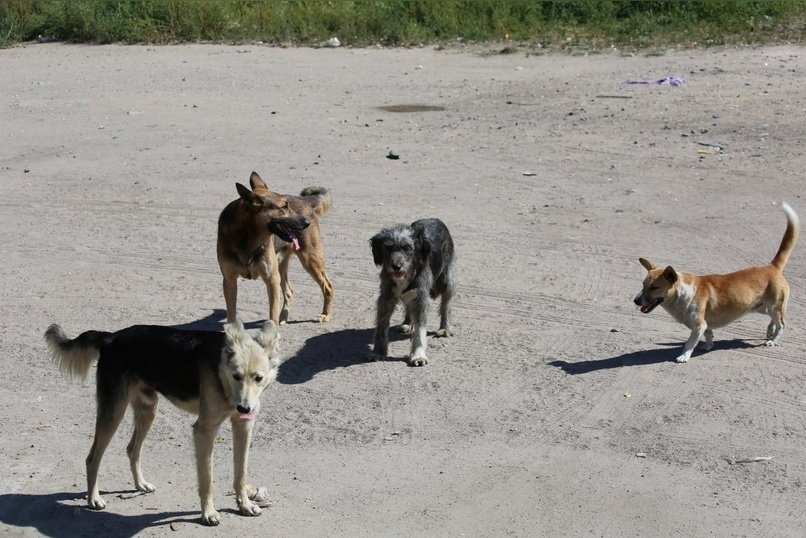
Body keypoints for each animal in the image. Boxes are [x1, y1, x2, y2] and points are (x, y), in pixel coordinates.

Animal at [218, 171, 334, 322]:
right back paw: (284, 316)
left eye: (288, 205)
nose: (306, 222)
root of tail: (305, 200)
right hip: (281, 266)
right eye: (284, 207)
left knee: (328, 286)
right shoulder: (230, 281)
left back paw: (325, 314)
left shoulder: (271, 279)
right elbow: (231, 316)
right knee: (289, 291)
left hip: (310, 260)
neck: (247, 239)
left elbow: (272, 313)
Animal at [370, 218, 458, 364]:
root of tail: (435, 219)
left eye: (407, 248)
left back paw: (445, 328)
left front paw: (418, 355)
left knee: (446, 304)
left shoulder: (421, 298)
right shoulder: (386, 297)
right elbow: (381, 325)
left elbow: (420, 329)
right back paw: (406, 323)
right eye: (388, 248)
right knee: (408, 305)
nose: (396, 266)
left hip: (447, 280)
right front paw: (378, 351)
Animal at [636, 201, 800, 360]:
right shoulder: (705, 325)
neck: (682, 293)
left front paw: (684, 356)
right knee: (775, 320)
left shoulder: (699, 325)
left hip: (773, 306)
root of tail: (772, 266)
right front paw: (709, 346)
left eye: (654, 287)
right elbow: (709, 335)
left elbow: (690, 343)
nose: (635, 301)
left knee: (782, 324)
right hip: (763, 307)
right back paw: (770, 331)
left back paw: (773, 340)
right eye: (643, 285)